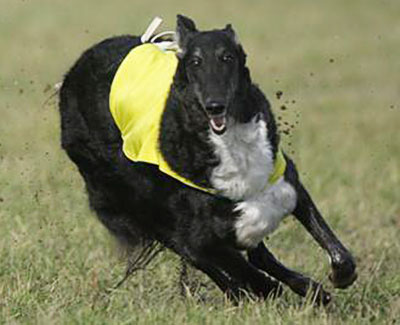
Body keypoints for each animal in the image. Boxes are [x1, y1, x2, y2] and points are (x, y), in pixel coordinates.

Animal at [59, 15, 356, 304]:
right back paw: (245, 292)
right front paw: (262, 290)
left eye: (227, 57)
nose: (214, 105)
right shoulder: (198, 231)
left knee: (254, 256)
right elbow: (224, 259)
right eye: (195, 61)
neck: (230, 144)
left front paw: (334, 279)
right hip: (137, 199)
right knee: (200, 254)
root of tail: (73, 72)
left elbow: (334, 248)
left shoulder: (284, 182)